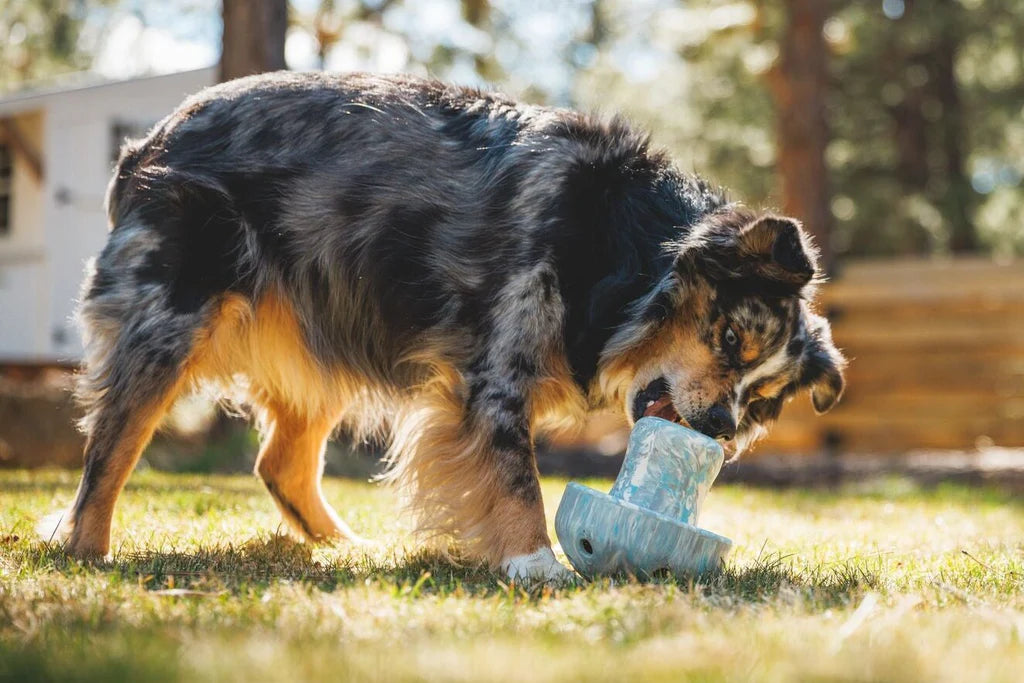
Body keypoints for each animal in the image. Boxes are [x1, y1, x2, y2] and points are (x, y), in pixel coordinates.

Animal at [48, 70, 843, 581]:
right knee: (111, 448)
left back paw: (348, 549)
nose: (720, 432)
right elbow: (517, 476)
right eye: (730, 339)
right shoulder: (495, 366)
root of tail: (145, 144)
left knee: (280, 462)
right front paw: (538, 564)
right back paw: (87, 549)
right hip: (170, 318)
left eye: (762, 400)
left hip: (331, 321)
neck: (629, 247)